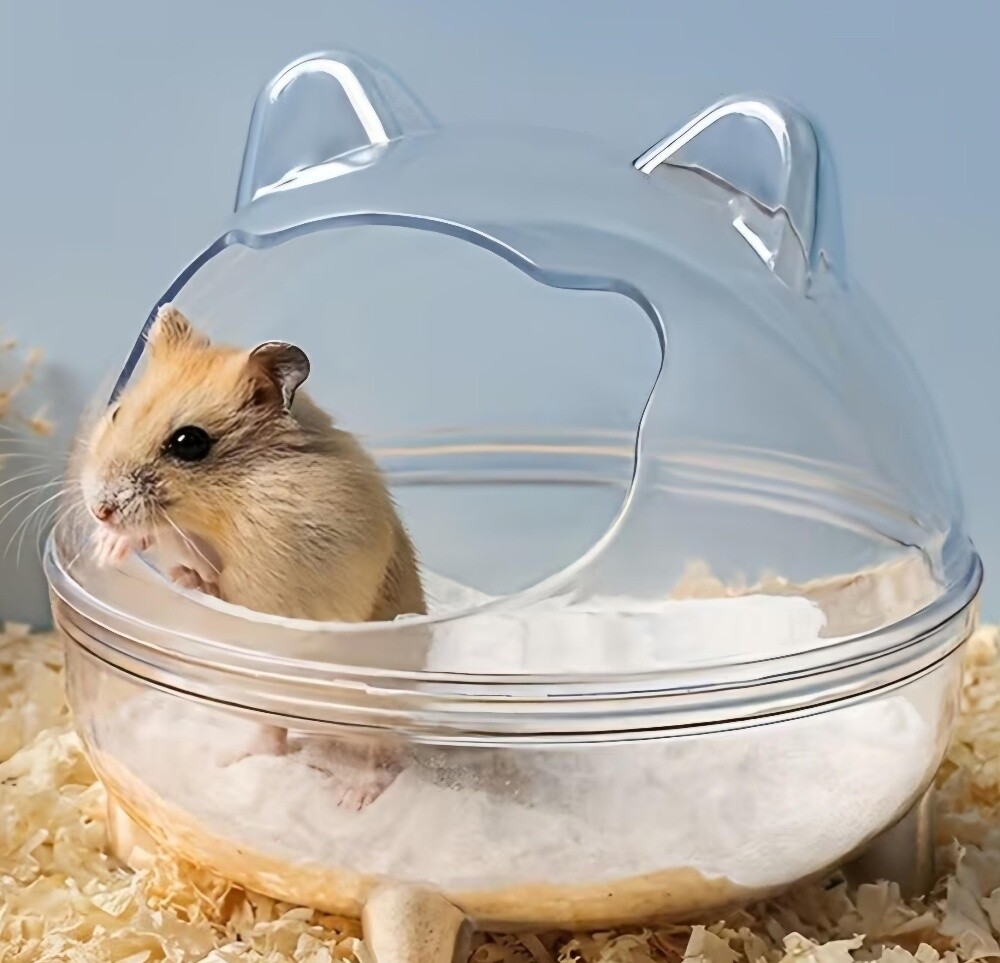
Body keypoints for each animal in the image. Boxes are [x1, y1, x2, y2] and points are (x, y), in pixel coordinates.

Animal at [78, 304, 425, 806]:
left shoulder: (277, 583)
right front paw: (110, 546)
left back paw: (351, 798)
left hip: (365, 712)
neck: (223, 506)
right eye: (118, 412)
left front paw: (187, 577)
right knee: (274, 735)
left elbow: (217, 585)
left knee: (380, 758)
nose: (98, 509)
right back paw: (232, 759)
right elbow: (165, 542)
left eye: (189, 442)